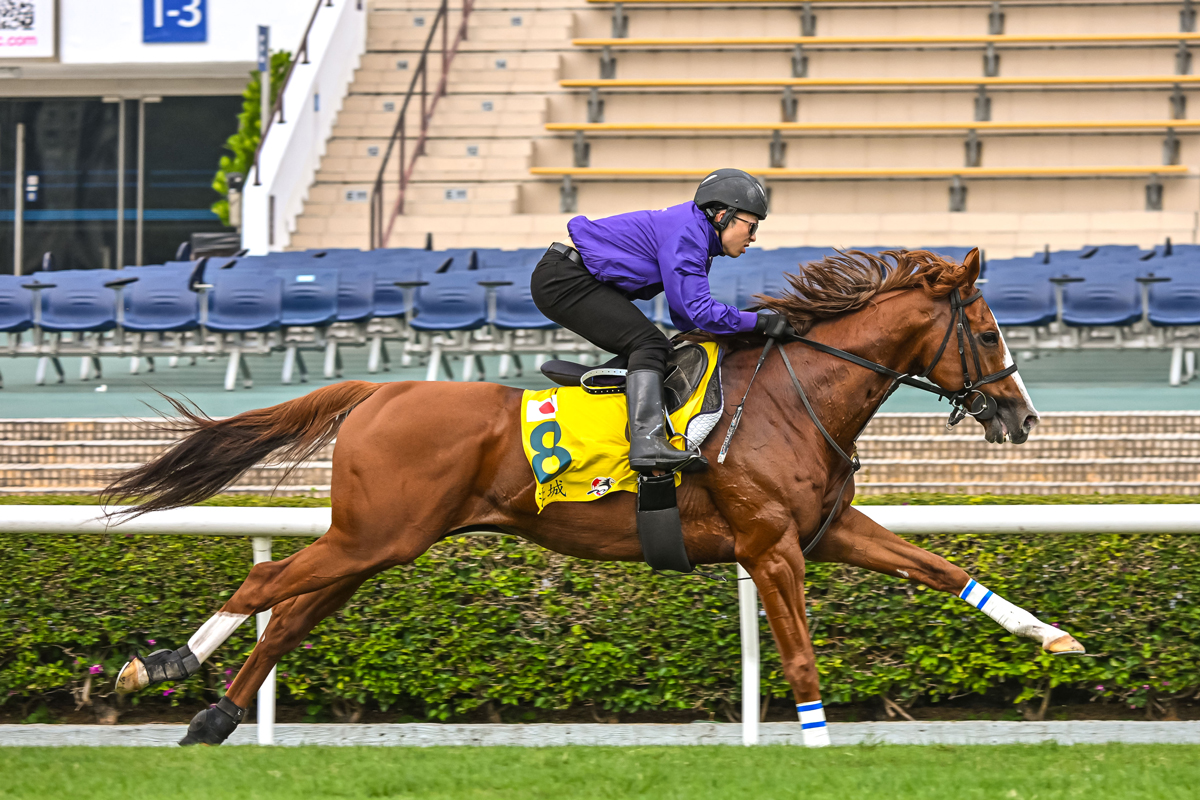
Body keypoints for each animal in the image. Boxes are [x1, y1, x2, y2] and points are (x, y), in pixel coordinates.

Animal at [108, 247, 1089, 748]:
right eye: (988, 331)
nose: (1023, 417)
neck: (794, 395)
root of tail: (376, 392)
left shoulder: (827, 529)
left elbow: (941, 568)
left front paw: (1053, 636)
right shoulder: (768, 546)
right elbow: (802, 659)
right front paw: (816, 752)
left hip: (378, 543)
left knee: (289, 615)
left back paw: (216, 716)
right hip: (373, 536)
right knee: (261, 588)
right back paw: (158, 667)